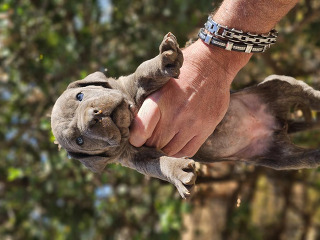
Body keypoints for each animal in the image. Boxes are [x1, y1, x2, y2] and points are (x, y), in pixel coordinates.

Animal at [51, 33, 320, 199]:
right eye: (79, 140)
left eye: (80, 96)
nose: (94, 117)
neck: (130, 118)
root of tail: (280, 124)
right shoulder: (137, 158)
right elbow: (160, 164)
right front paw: (179, 173)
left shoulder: (133, 86)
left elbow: (144, 73)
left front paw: (165, 59)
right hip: (280, 157)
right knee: (304, 157)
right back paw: (314, 156)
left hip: (280, 86)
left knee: (309, 96)